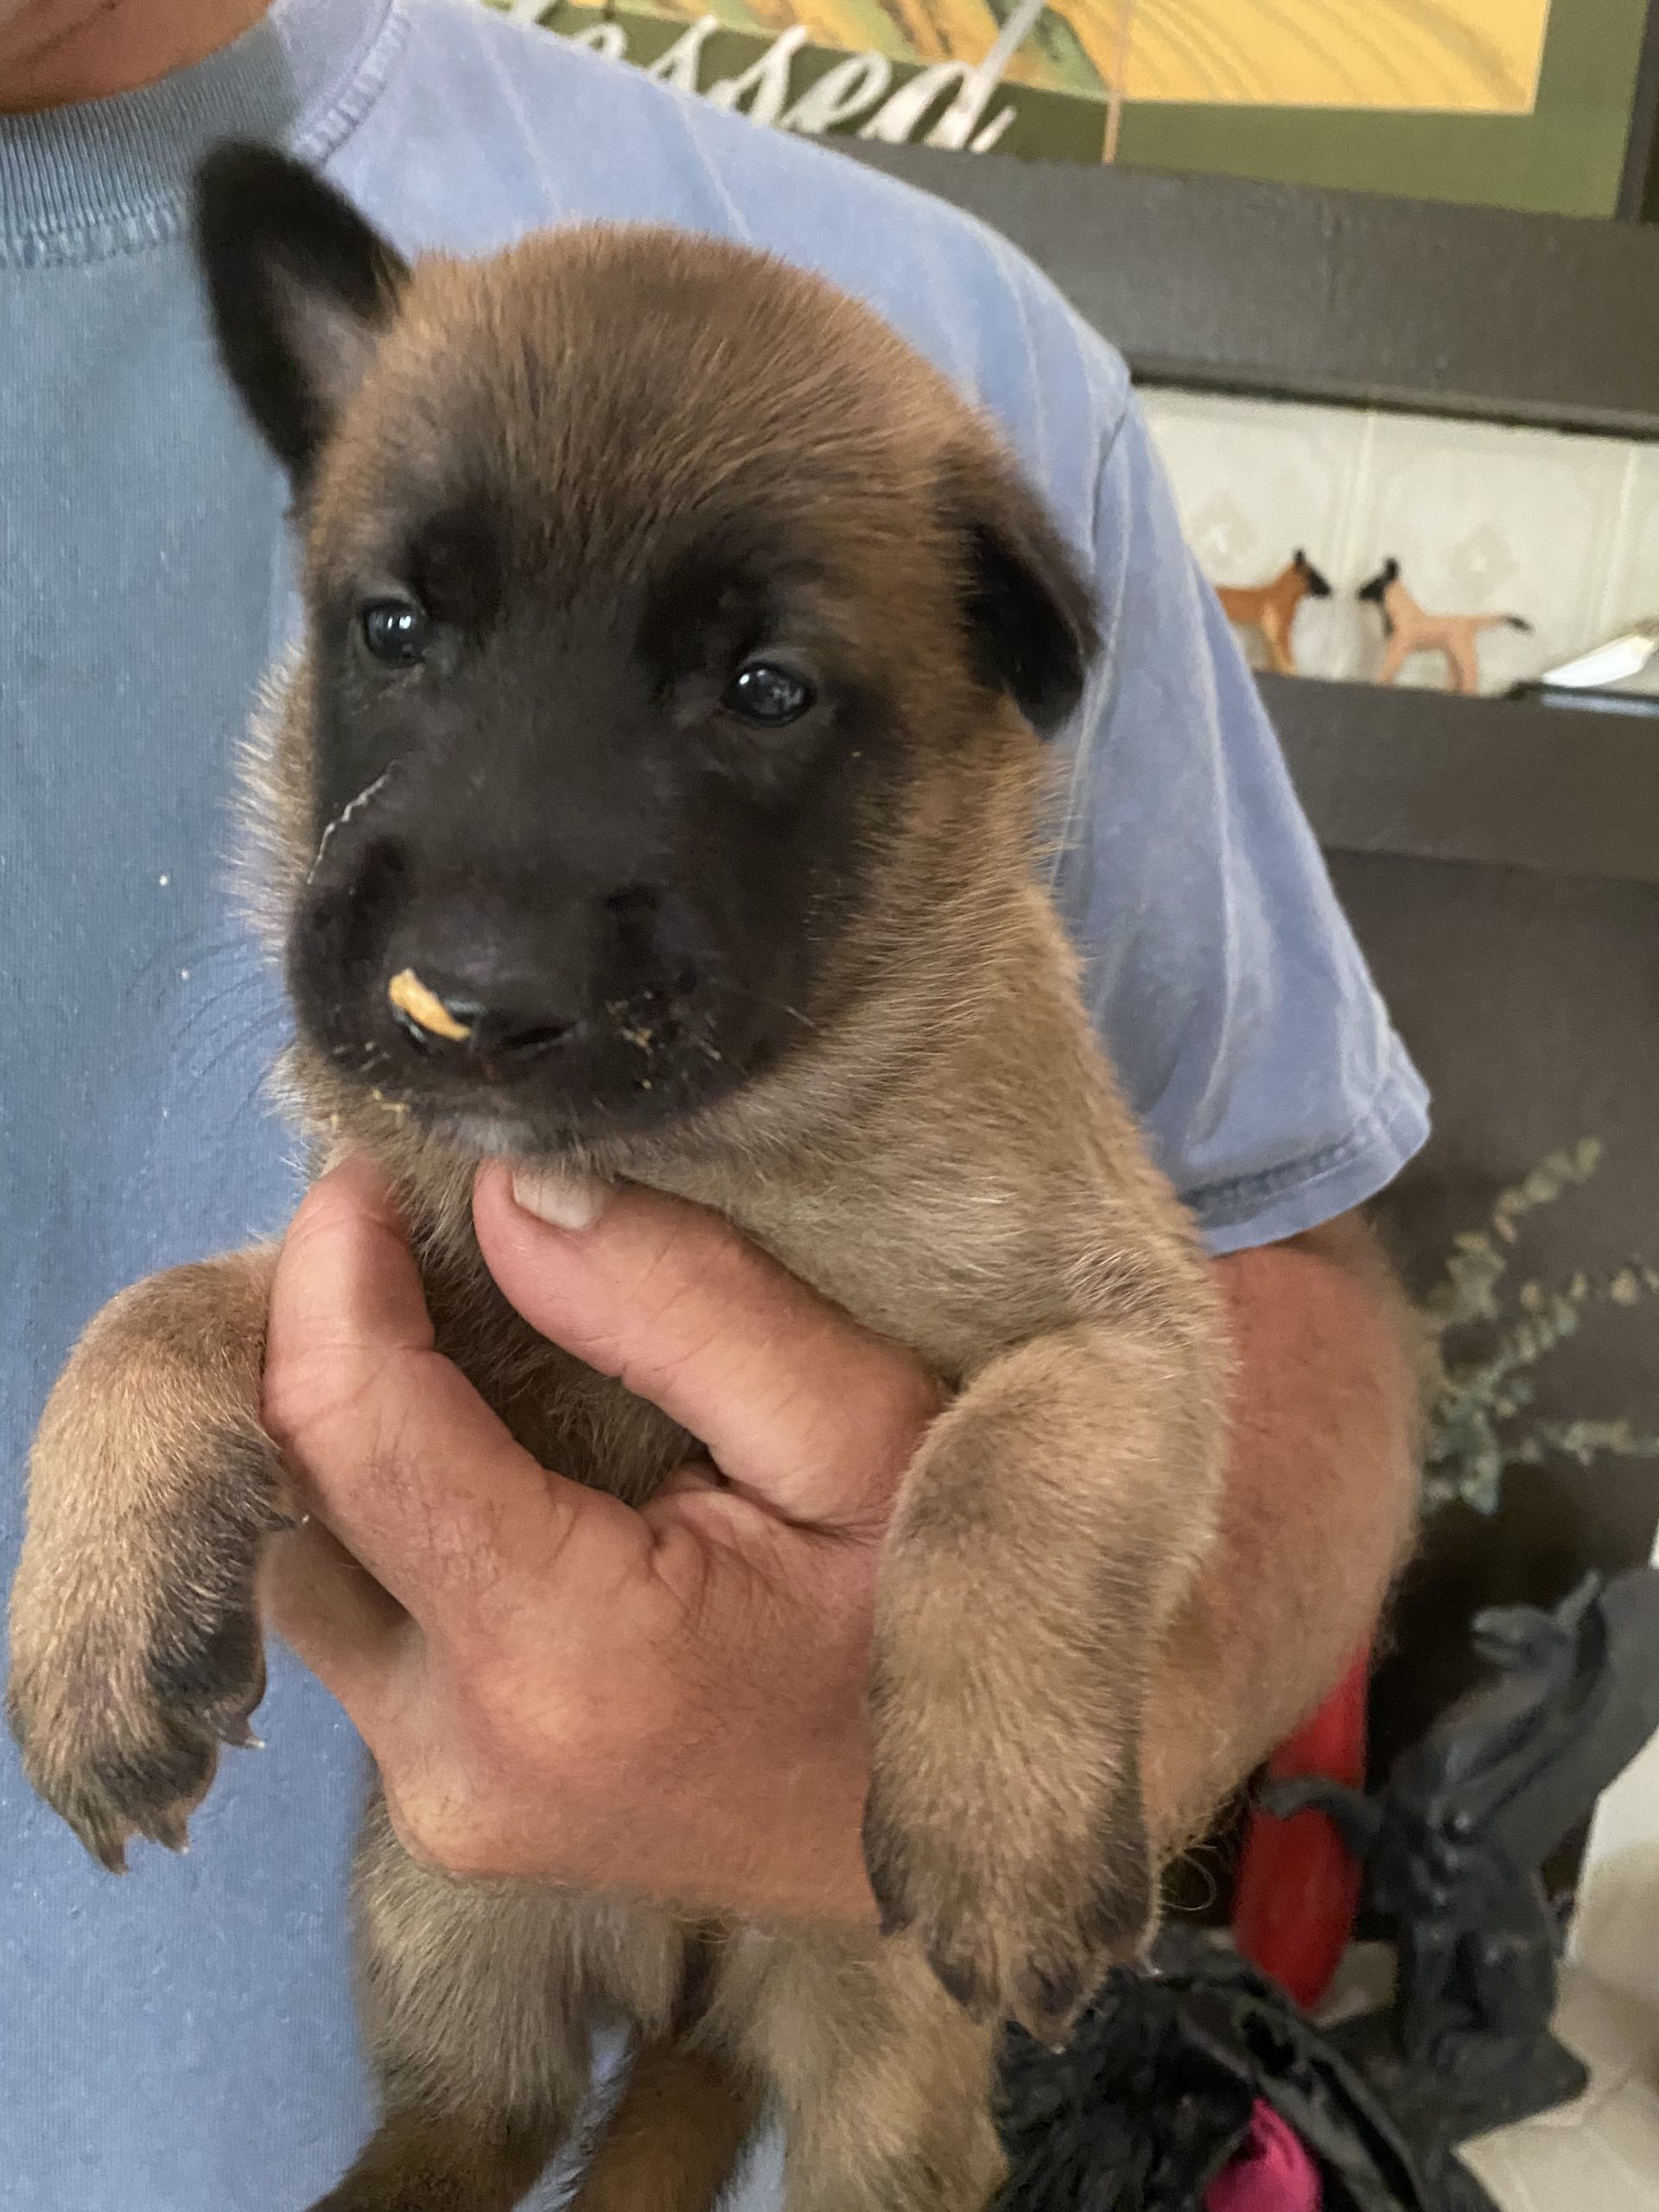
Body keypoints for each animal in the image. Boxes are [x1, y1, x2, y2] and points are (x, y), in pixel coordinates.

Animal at [10, 143, 1238, 2212]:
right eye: (395, 629)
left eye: (764, 689)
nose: (475, 998)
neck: (700, 1163)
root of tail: (681, 1981)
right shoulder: (398, 1286)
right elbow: (163, 1303)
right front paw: (96, 1611)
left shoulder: (1140, 1329)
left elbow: (1008, 1458)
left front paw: (1000, 1810)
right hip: (445, 1924)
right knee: (466, 2123)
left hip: (870, 2067)